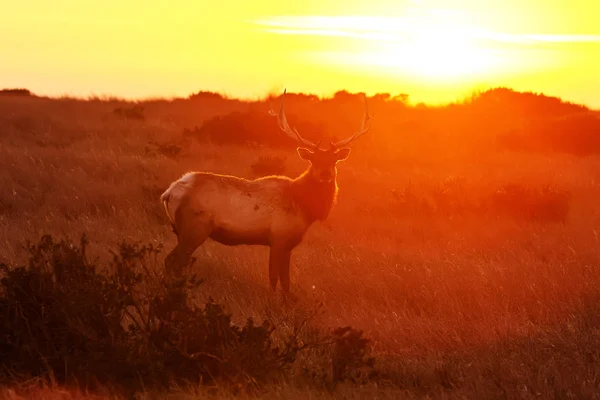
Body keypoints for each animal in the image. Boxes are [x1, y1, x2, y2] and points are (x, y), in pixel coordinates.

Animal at [162, 90, 372, 294]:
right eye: (314, 160)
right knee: (172, 260)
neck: (303, 206)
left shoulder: (288, 244)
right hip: (194, 228)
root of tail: (169, 193)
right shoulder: (278, 238)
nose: (325, 174)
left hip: (182, 230)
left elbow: (286, 282)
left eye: (334, 160)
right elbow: (274, 278)